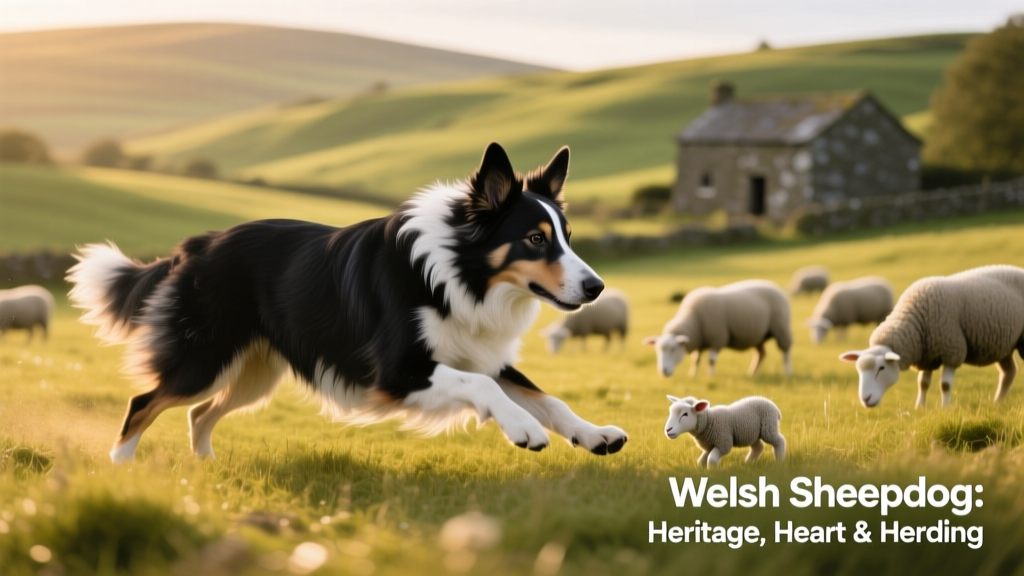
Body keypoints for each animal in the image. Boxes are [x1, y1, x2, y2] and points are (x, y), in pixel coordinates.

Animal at [642, 280, 792, 378]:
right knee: (761, 354)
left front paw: (710, 376)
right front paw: (693, 375)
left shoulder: (718, 338)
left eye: (673, 349)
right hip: (757, 336)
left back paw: (787, 372)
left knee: (785, 351)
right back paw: (752, 373)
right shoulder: (699, 342)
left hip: (781, 328)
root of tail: (773, 285)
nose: (663, 371)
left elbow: (711, 360)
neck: (695, 319)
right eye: (656, 350)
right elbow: (695, 360)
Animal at [840, 265, 1024, 409]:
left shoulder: (952, 350)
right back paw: (997, 402)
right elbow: (923, 383)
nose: (865, 399)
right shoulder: (926, 355)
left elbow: (945, 385)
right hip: (1004, 345)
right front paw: (920, 407)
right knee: (1009, 372)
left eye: (881, 368)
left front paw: (945, 408)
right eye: (858, 370)